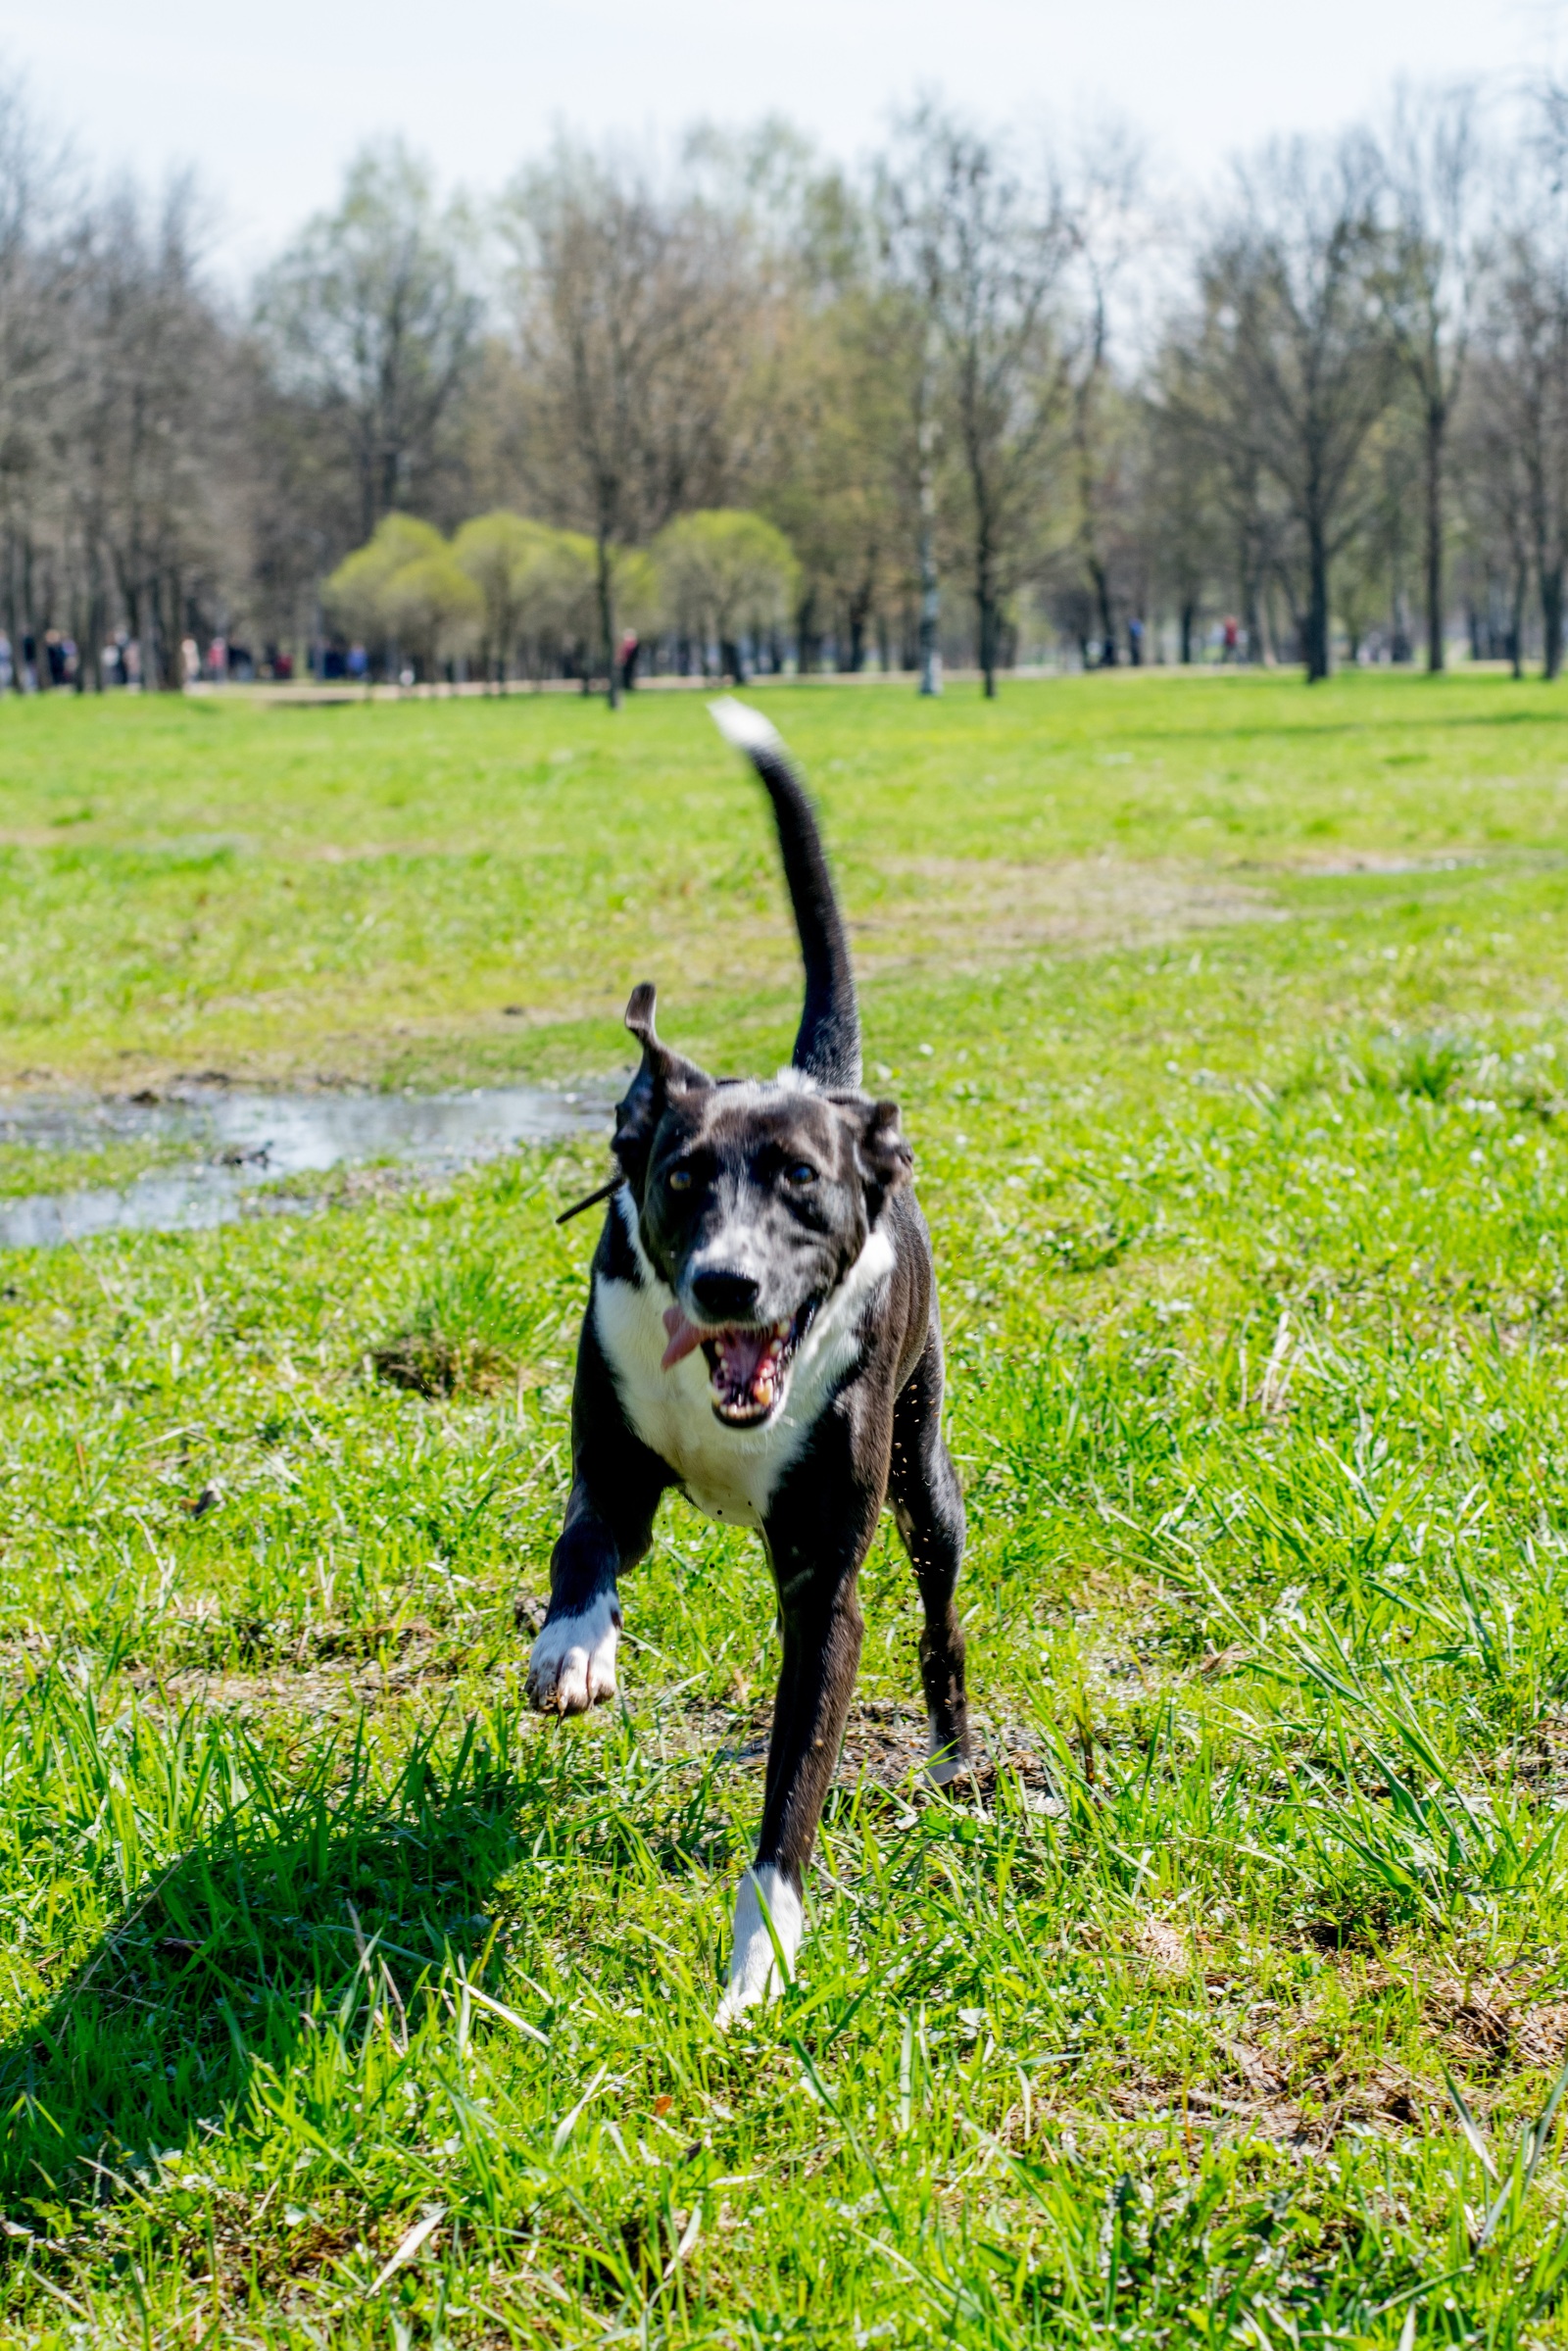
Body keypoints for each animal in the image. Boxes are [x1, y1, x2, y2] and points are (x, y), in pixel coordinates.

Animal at [526, 696, 968, 2022]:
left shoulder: (825, 1586)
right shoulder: (612, 1462)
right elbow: (582, 1545)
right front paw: (572, 1646)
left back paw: (958, 1757)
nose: (727, 1282)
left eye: (802, 1183)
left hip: (926, 1473)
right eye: (680, 1177)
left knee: (941, 1608)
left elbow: (793, 1787)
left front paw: (759, 1964)